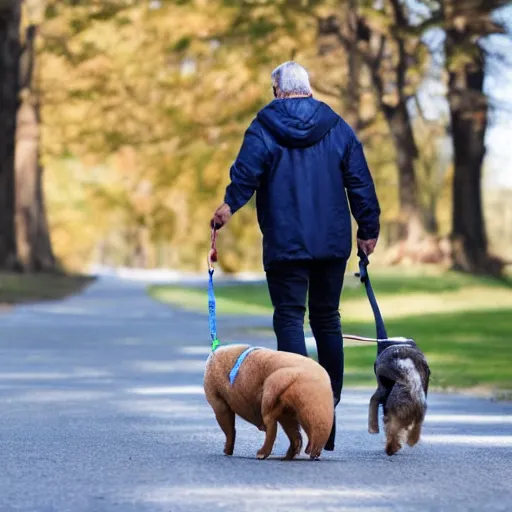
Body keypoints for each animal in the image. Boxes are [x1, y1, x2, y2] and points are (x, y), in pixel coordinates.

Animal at [204, 344, 336, 460]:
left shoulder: (218, 401)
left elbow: (228, 428)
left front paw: (227, 451)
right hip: (300, 406)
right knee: (298, 432)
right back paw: (293, 455)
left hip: (274, 390)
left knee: (273, 426)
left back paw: (262, 453)